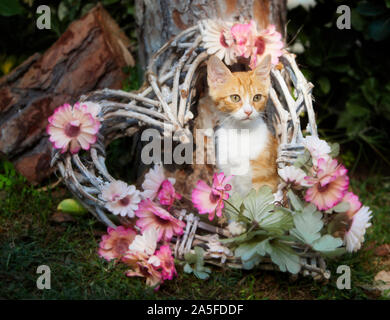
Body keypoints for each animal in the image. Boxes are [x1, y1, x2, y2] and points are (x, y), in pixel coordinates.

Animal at [197, 53, 278, 196]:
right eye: (235, 98)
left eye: (257, 97)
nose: (248, 111)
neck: (241, 133)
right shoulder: (227, 173)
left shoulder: (265, 180)